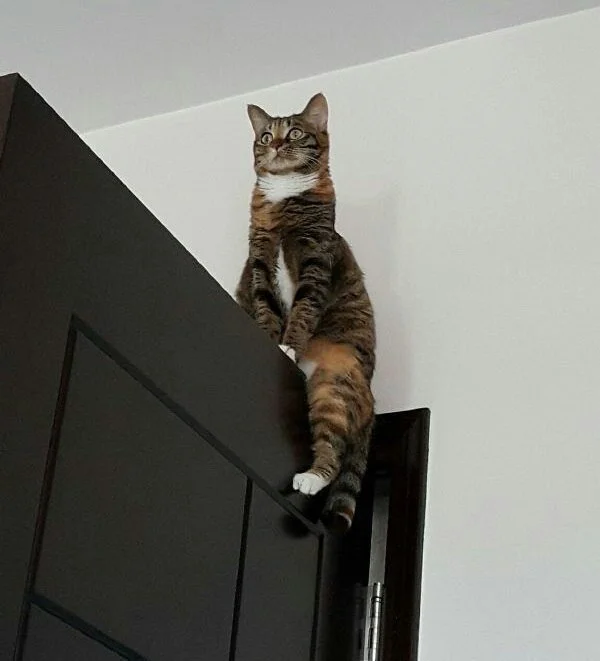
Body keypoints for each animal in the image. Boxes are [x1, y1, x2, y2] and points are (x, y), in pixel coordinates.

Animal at [236, 93, 375, 532]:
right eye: (266, 135)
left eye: (295, 132)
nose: (278, 145)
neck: (283, 198)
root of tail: (372, 402)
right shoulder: (260, 260)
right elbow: (266, 306)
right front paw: (270, 339)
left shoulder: (315, 261)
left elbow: (301, 311)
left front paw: (287, 346)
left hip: (332, 385)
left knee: (333, 446)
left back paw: (311, 478)